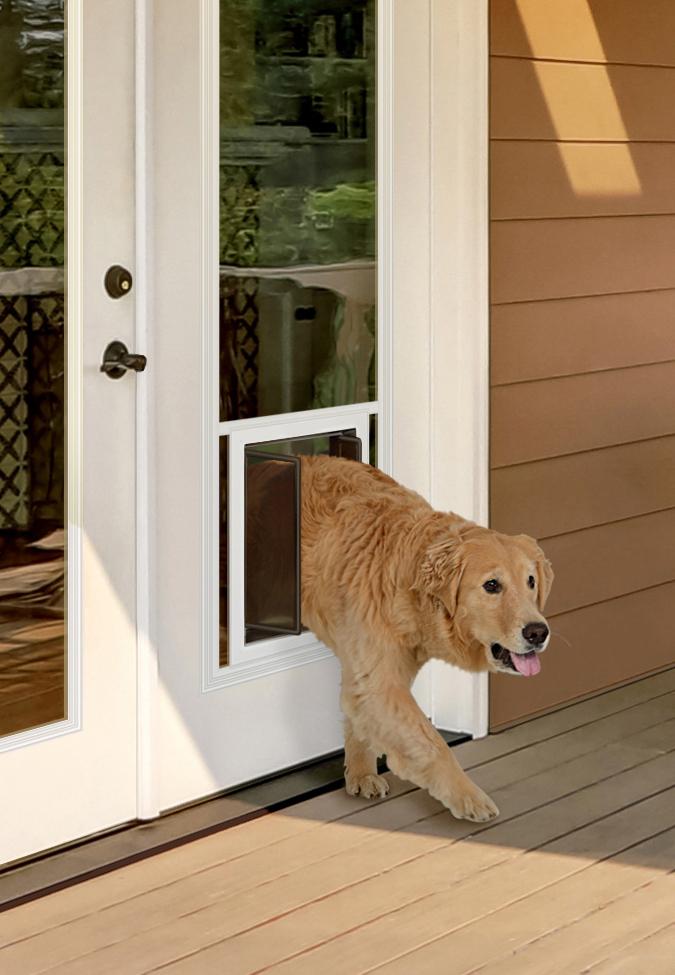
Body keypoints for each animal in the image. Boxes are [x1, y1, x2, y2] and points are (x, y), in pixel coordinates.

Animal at [302, 458, 556, 824]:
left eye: (531, 581)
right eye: (492, 585)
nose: (538, 632)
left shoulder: (367, 668)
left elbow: (358, 715)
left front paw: (362, 774)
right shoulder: (382, 681)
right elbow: (430, 742)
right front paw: (469, 797)